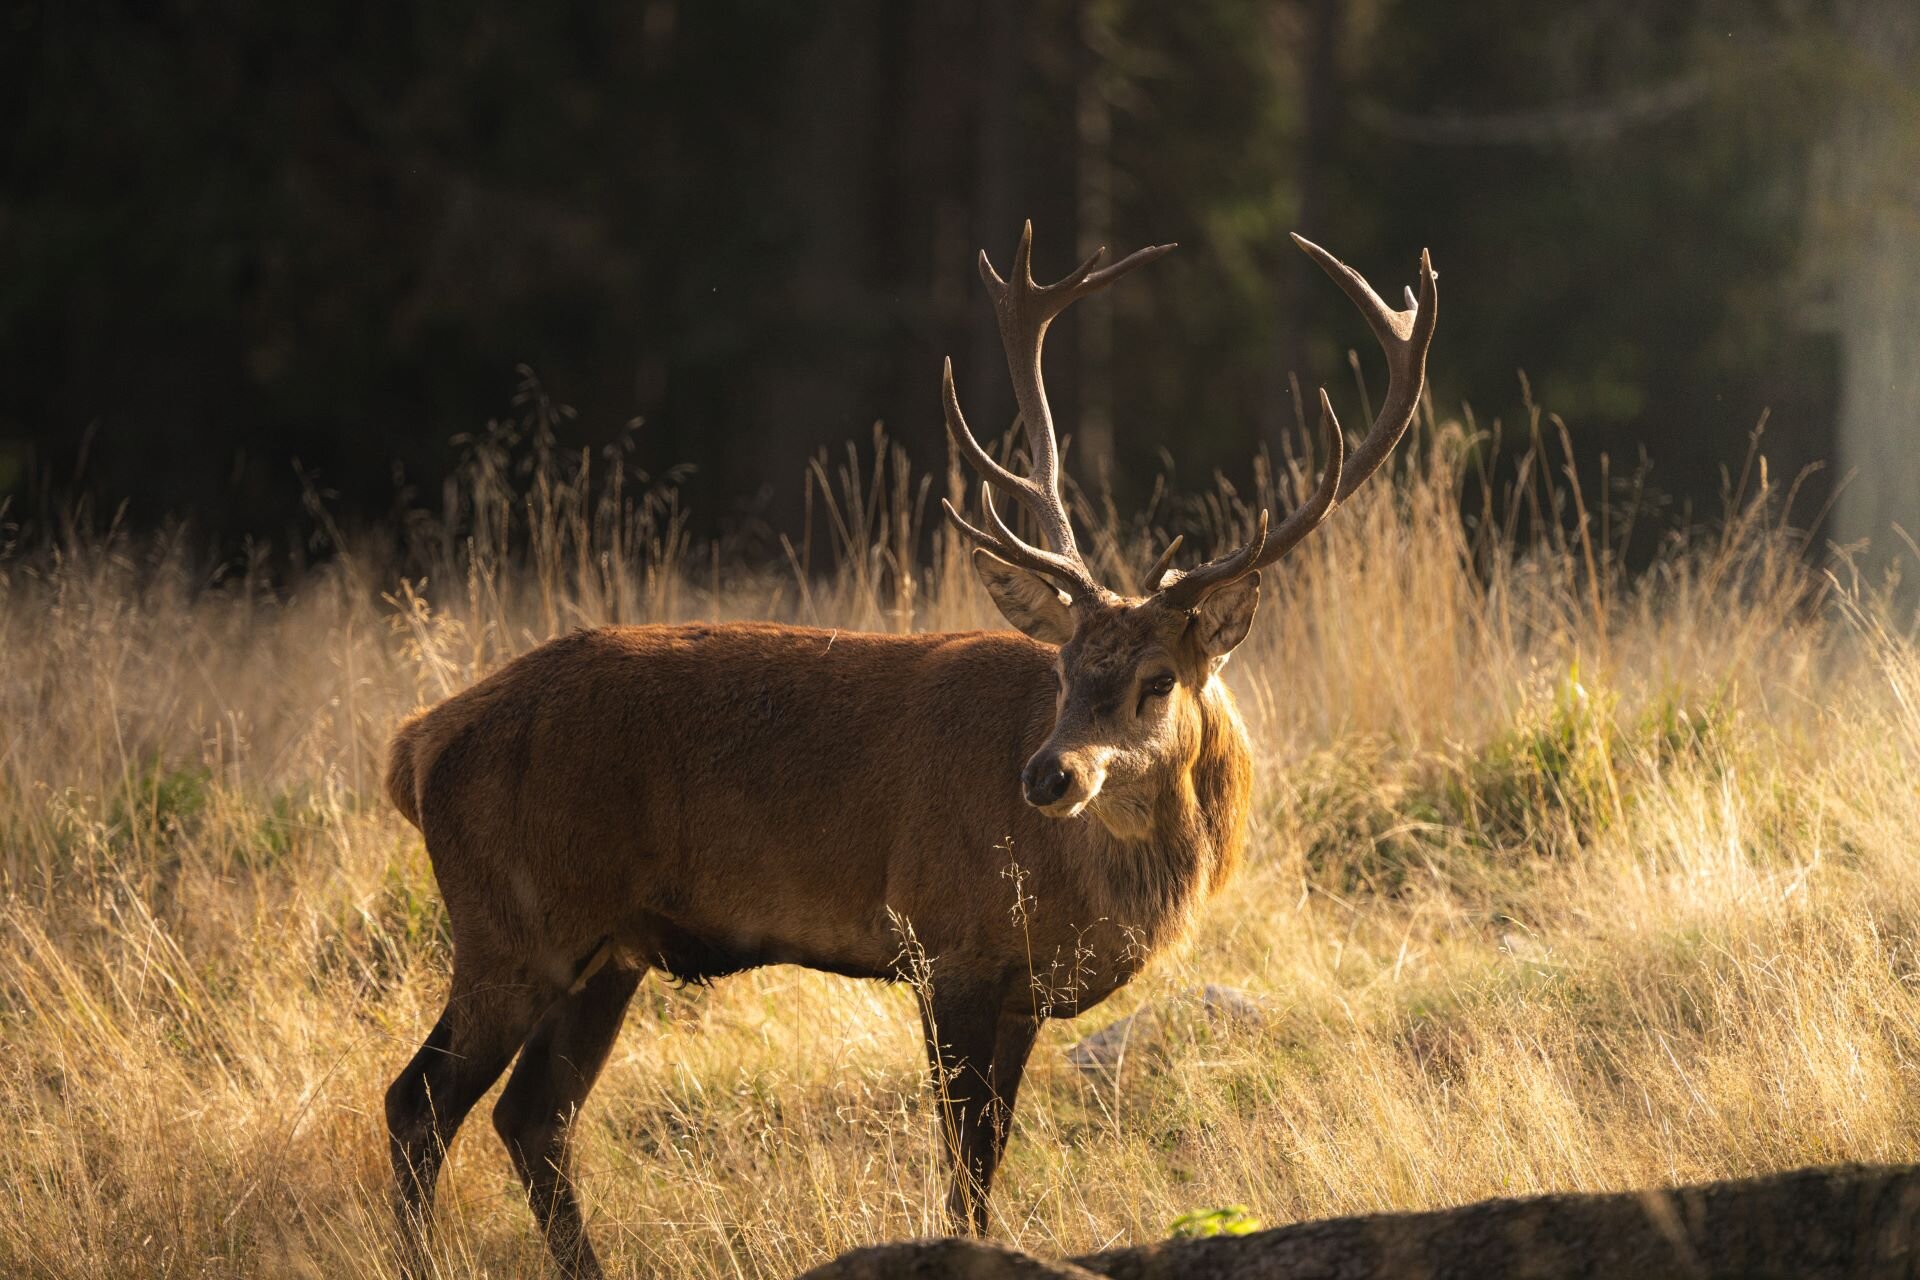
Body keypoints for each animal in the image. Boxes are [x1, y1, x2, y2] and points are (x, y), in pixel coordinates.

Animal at [382, 222, 1436, 1278]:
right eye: (1063, 668)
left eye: (1157, 680)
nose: (1047, 775)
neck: (1086, 892)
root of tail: (417, 744)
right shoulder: (947, 940)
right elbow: (965, 1161)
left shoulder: (1020, 991)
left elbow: (989, 1151)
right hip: (512, 922)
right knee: (420, 1104)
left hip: (607, 948)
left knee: (532, 1118)